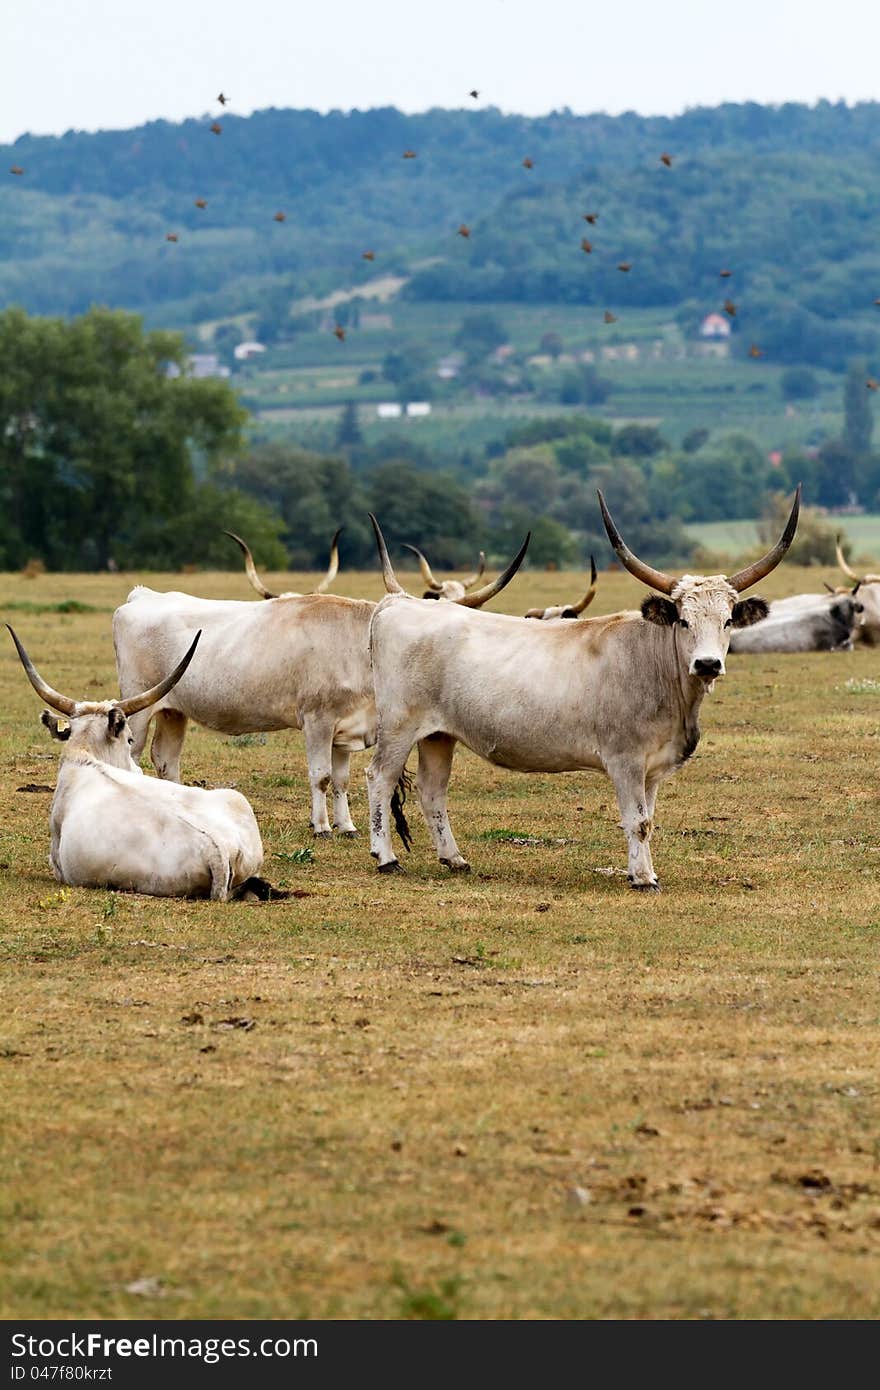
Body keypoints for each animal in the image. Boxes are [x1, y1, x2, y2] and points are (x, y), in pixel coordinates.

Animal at [112, 530, 528, 834]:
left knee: (166, 760)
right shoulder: (317, 720)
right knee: (134, 757)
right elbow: (322, 776)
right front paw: (322, 827)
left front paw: (347, 826)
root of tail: (142, 596)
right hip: (139, 707)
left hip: (173, 711)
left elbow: (342, 778)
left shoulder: (346, 727)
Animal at [361, 494, 800, 889]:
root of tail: (399, 603)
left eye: (728, 620)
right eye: (683, 621)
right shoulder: (625, 760)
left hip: (438, 735)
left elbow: (648, 819)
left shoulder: (652, 768)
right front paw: (643, 878)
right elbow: (637, 821)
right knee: (379, 777)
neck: (654, 666)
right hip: (399, 727)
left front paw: (643, 870)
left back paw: (454, 859)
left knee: (432, 790)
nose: (707, 663)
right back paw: (386, 858)